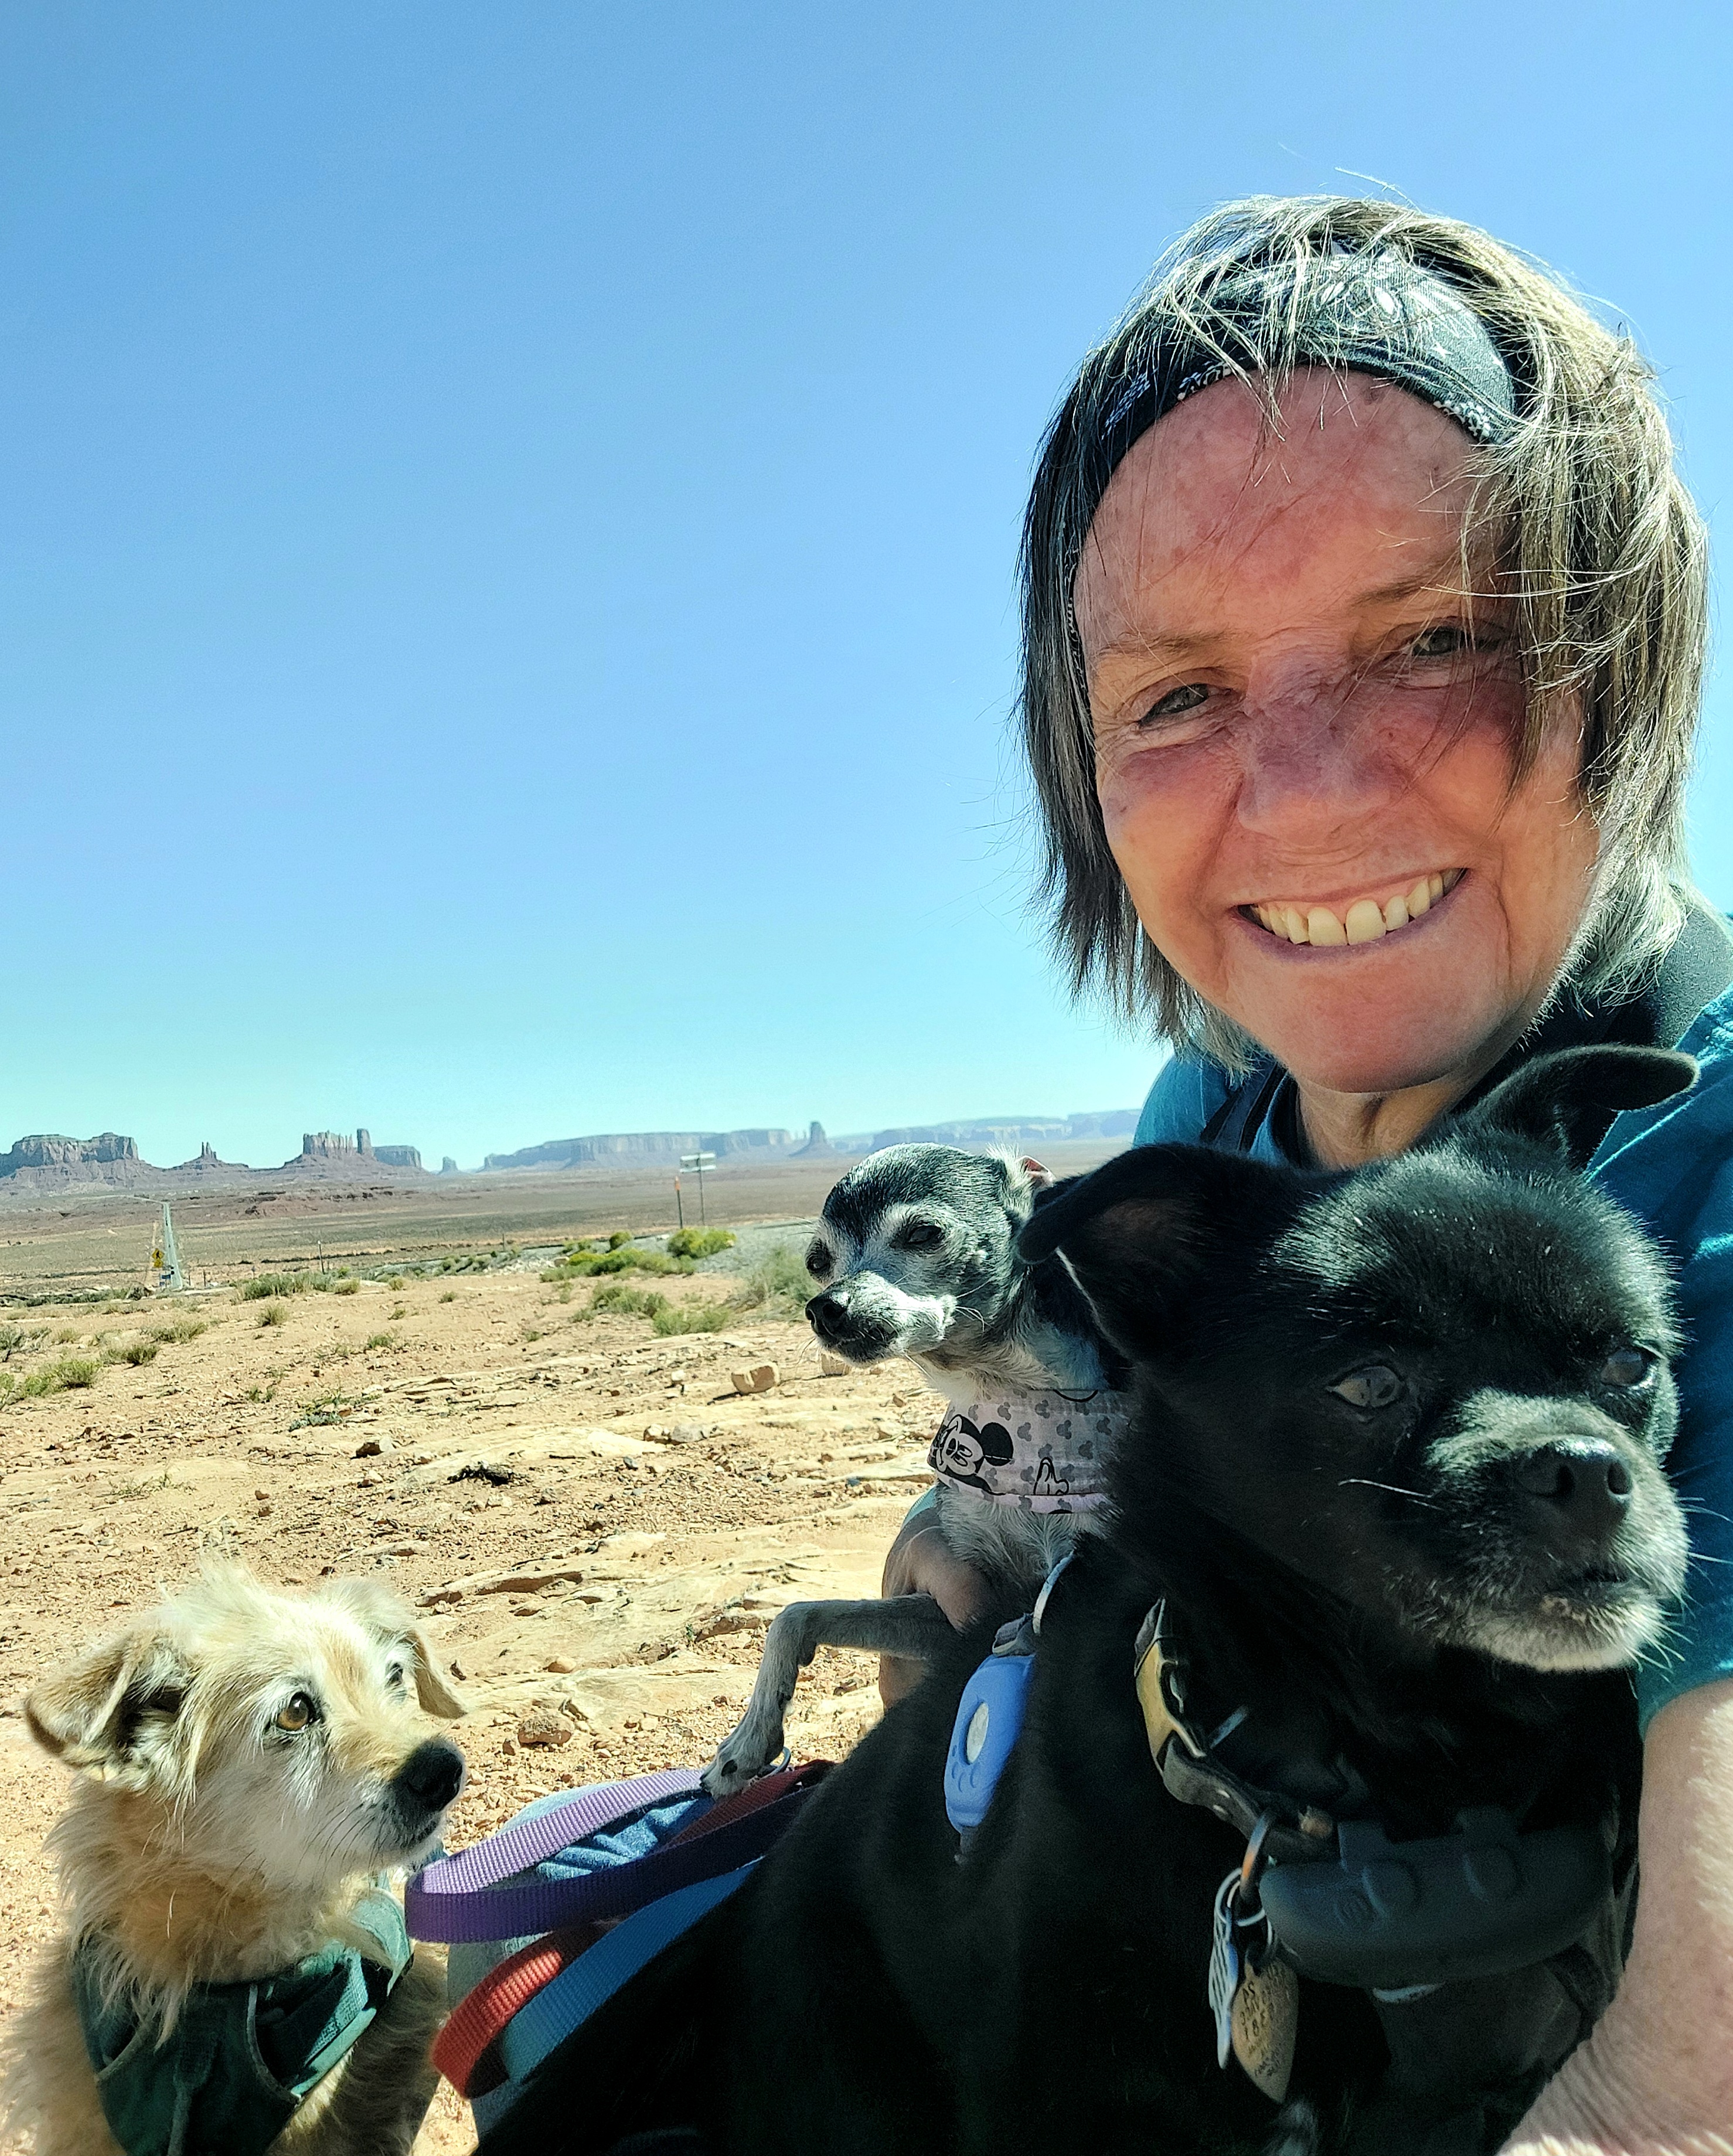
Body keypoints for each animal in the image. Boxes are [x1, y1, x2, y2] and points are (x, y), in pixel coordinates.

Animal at [704, 1145, 1127, 1795]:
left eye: (923, 1233)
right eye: (818, 1262)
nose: (825, 1307)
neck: (1006, 1393)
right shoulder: (956, 1614)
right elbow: (795, 1615)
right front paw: (746, 1741)